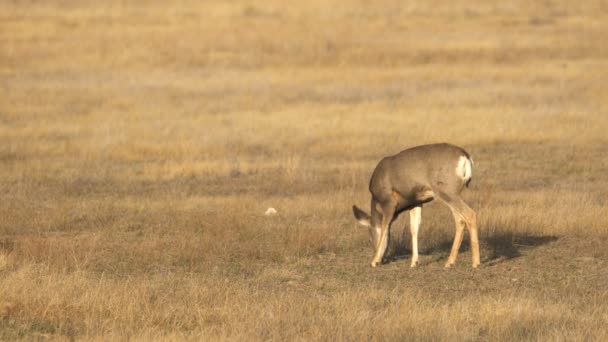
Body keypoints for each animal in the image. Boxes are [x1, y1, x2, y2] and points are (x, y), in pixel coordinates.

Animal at [352, 143, 480, 268]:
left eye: (369, 237)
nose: (383, 260)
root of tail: (465, 156)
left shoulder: (389, 202)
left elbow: (385, 227)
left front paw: (374, 261)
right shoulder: (415, 202)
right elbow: (414, 228)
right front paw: (414, 262)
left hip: (447, 190)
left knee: (470, 214)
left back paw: (475, 262)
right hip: (452, 193)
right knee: (460, 220)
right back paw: (450, 262)